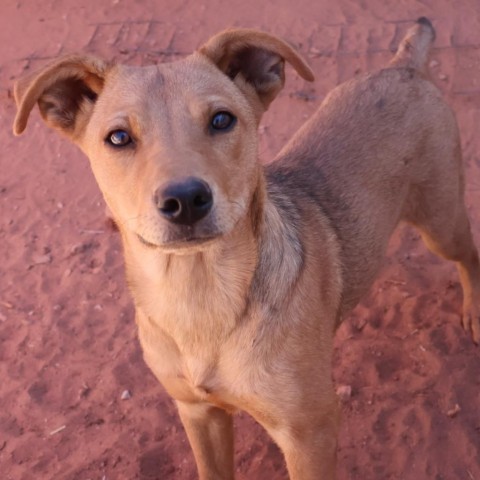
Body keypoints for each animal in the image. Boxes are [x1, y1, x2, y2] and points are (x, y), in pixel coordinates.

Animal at [12, 17, 480, 480]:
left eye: (222, 119)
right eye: (118, 137)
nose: (185, 199)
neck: (199, 297)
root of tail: (404, 66)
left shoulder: (310, 432)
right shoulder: (198, 412)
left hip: (441, 222)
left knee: (469, 254)